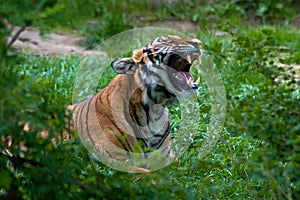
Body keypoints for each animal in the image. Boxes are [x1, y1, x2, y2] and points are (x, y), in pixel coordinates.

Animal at [69, 35, 202, 173]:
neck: (154, 111)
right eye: (165, 41)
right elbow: (147, 173)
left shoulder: (168, 157)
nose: (198, 43)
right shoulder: (114, 161)